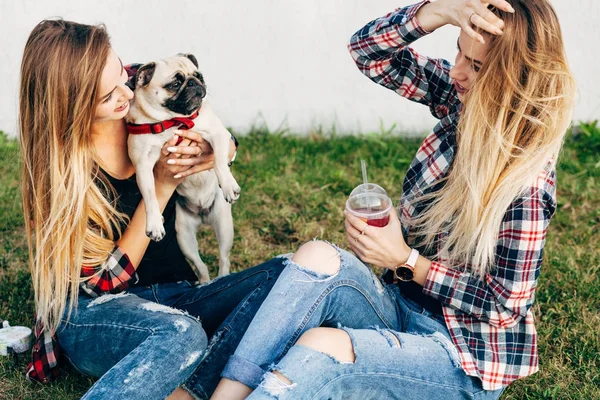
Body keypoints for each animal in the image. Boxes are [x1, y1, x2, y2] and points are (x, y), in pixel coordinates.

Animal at [125, 54, 240, 284]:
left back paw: (222, 277)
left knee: (224, 259)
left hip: (224, 227)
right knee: (200, 265)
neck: (171, 121)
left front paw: (228, 184)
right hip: (184, 237)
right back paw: (203, 283)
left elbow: (219, 162)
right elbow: (150, 196)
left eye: (199, 76)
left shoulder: (219, 135)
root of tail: (203, 213)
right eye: (175, 84)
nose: (195, 83)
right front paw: (154, 223)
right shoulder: (142, 165)